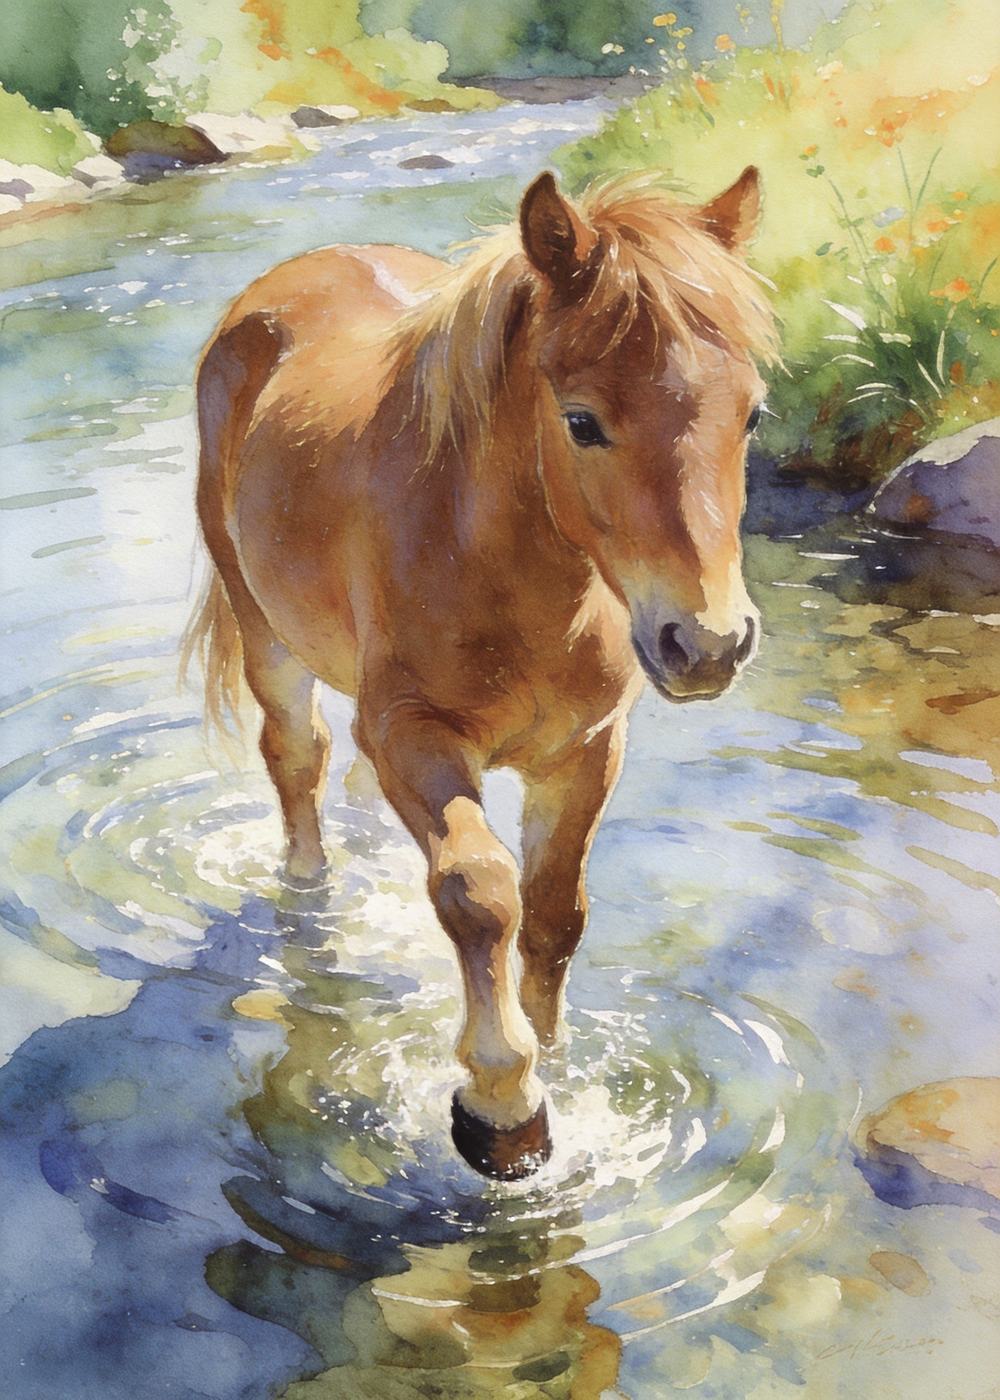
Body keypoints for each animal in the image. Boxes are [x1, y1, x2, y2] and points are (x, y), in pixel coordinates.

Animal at [186, 166, 776, 1180]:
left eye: (753, 413)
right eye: (582, 422)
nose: (707, 644)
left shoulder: (584, 752)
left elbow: (554, 912)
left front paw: (560, 1064)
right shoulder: (413, 737)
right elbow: (479, 892)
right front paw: (504, 1104)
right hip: (267, 635)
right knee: (297, 759)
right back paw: (308, 899)